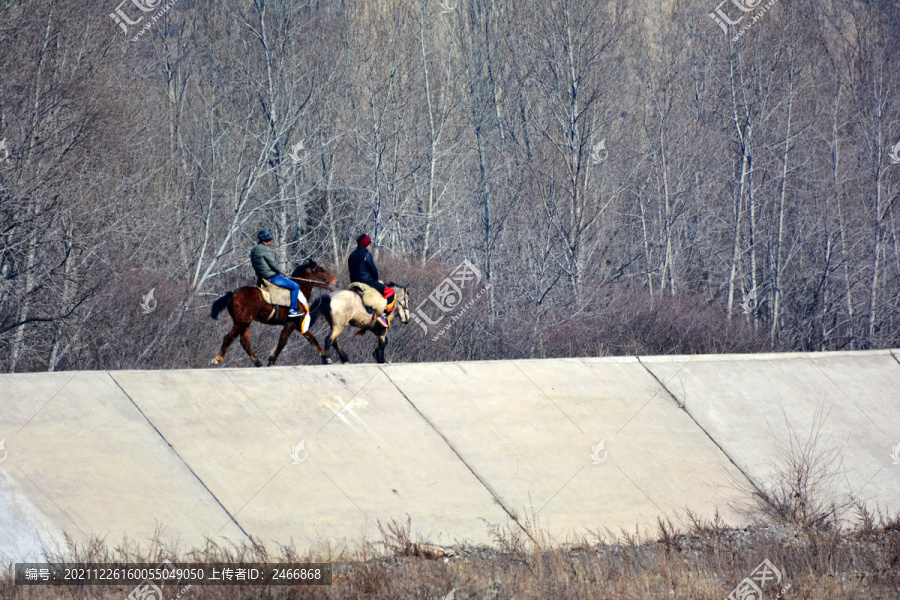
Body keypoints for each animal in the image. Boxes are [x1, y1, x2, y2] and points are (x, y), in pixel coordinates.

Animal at [209, 262, 340, 368]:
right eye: (321, 270)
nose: (336, 281)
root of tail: (232, 294)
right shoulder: (292, 323)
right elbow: (284, 341)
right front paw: (271, 360)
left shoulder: (297, 324)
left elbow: (311, 338)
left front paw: (326, 357)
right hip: (241, 322)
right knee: (229, 337)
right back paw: (217, 359)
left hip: (245, 323)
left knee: (244, 342)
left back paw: (257, 362)